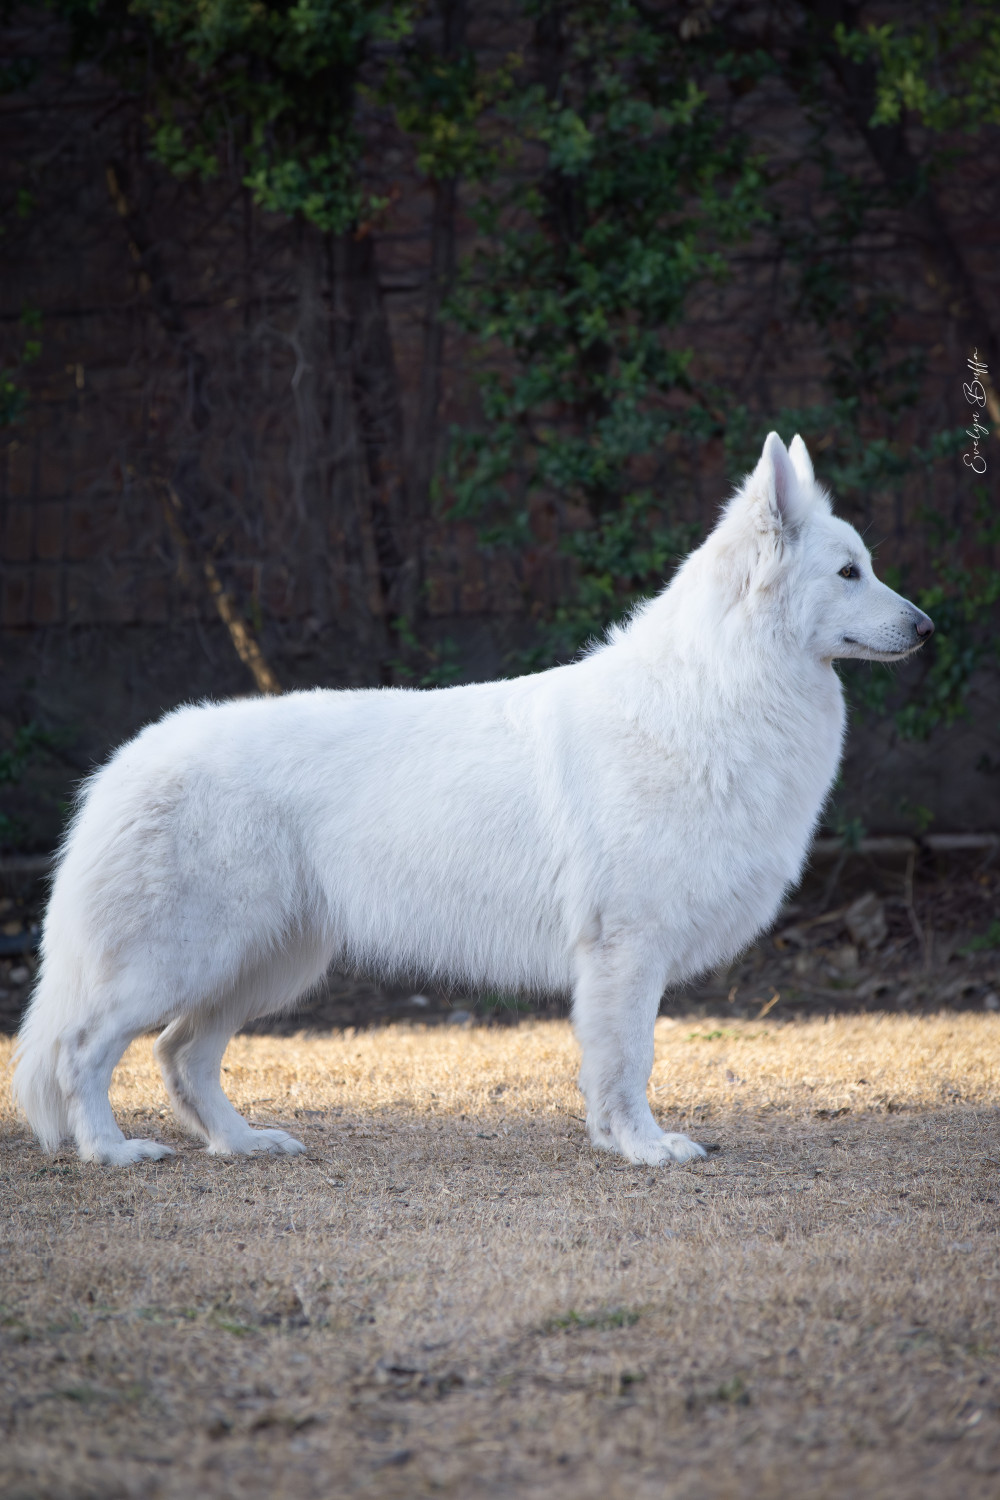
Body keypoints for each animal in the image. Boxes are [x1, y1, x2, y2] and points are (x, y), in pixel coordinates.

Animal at [13, 433, 933, 1167]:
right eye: (848, 573)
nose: (927, 629)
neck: (720, 686)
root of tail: (128, 760)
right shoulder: (626, 951)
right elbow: (628, 1062)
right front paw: (644, 1148)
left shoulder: (621, 958)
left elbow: (614, 1065)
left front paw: (617, 1143)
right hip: (186, 959)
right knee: (82, 1050)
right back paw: (110, 1151)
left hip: (264, 961)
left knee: (181, 1056)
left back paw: (242, 1143)